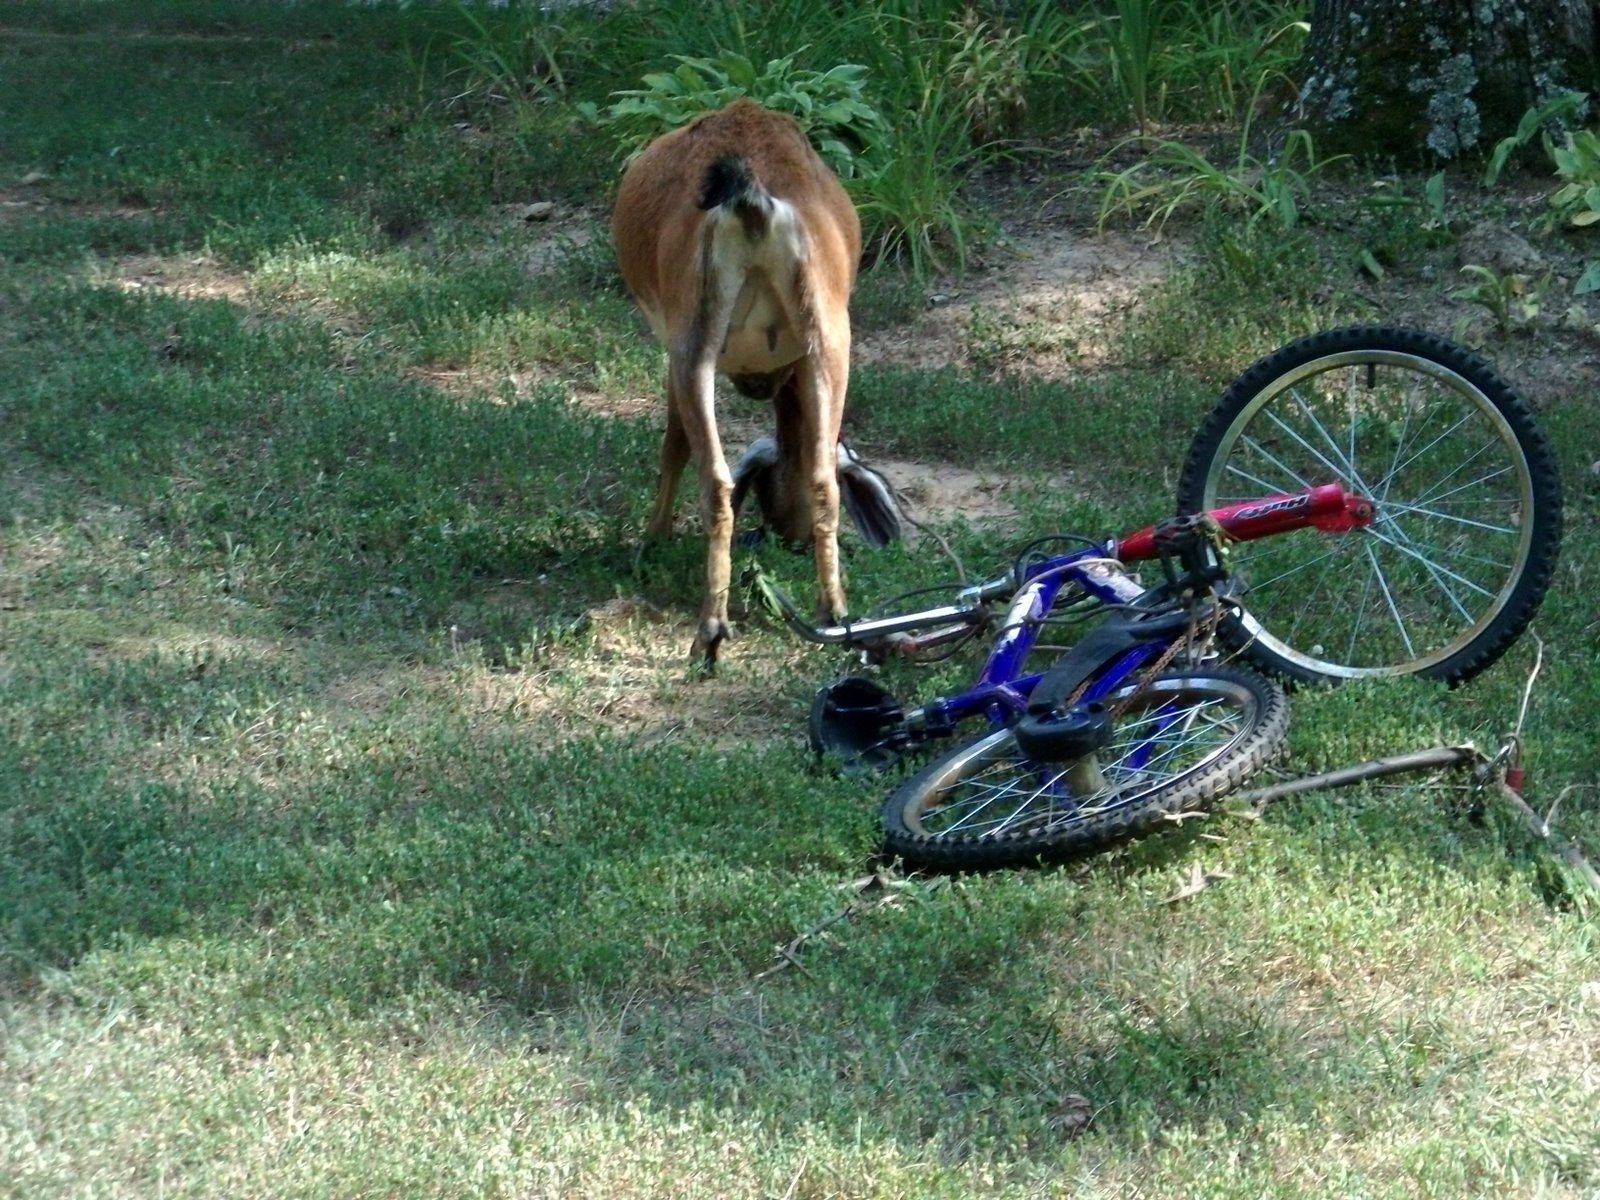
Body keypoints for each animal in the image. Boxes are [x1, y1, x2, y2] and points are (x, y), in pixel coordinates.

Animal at [611, 98, 901, 664]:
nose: (790, 539)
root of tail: (753, 209)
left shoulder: (673, 348)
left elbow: (673, 444)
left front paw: (653, 538)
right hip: (829, 334)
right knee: (820, 478)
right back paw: (833, 610)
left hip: (694, 334)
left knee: (715, 480)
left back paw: (710, 629)